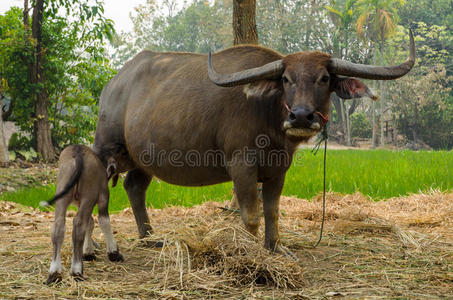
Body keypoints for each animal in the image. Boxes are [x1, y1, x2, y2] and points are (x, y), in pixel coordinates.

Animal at [93, 31, 414, 255]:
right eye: (285, 78)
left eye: (324, 78)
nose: (300, 116)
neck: (269, 118)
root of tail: (114, 83)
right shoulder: (242, 166)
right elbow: (250, 216)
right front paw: (250, 252)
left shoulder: (278, 170)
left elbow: (272, 212)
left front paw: (275, 247)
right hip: (106, 149)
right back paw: (95, 247)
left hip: (143, 159)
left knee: (134, 187)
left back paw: (150, 237)